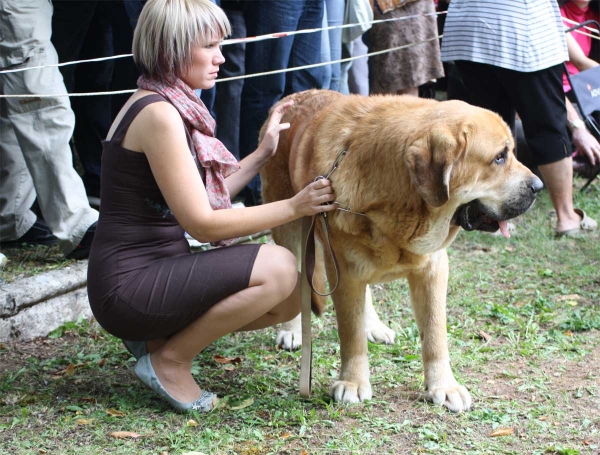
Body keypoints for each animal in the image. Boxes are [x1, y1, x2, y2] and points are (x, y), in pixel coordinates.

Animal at [260, 90, 540, 414]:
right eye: (499, 157)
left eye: (511, 153)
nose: (538, 186)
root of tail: (293, 97)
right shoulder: (343, 269)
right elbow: (350, 332)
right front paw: (353, 382)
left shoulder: (432, 269)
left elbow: (435, 334)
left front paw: (443, 386)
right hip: (290, 230)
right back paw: (293, 329)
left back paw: (373, 326)